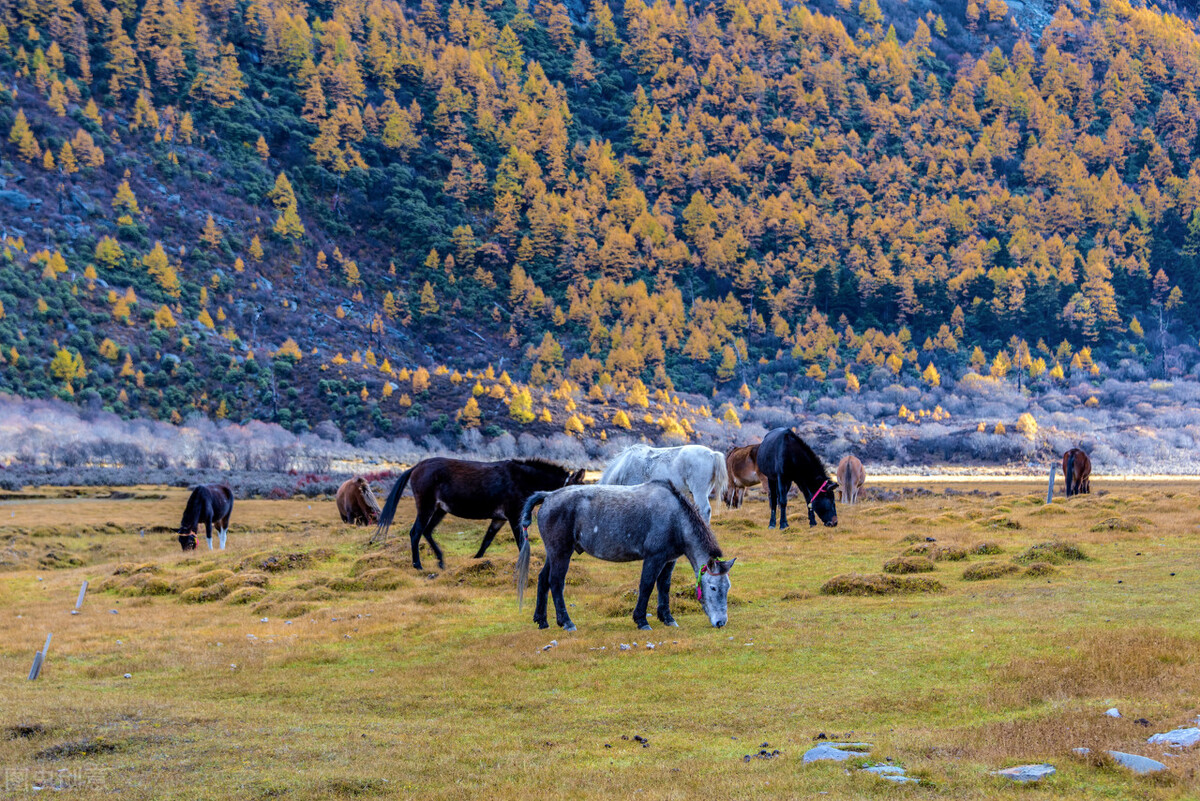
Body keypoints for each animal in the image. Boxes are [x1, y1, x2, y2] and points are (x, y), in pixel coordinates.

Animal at [372, 455, 583, 568]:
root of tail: (417, 466)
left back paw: (440, 561)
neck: (524, 479)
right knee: (416, 532)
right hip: (427, 506)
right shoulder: (514, 516)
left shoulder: (500, 519)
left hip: (440, 509)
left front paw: (476, 561)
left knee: (427, 531)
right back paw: (418, 565)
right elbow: (521, 543)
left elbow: (486, 541)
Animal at [518, 482, 734, 633]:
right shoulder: (654, 558)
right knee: (556, 583)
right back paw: (567, 622)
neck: (676, 518)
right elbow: (647, 585)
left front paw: (667, 618)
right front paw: (641, 620)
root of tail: (548, 496)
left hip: (553, 554)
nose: (721, 622)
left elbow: (664, 586)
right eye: (713, 587)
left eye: (727, 587)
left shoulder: (669, 560)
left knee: (543, 580)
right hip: (561, 553)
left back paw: (542, 621)